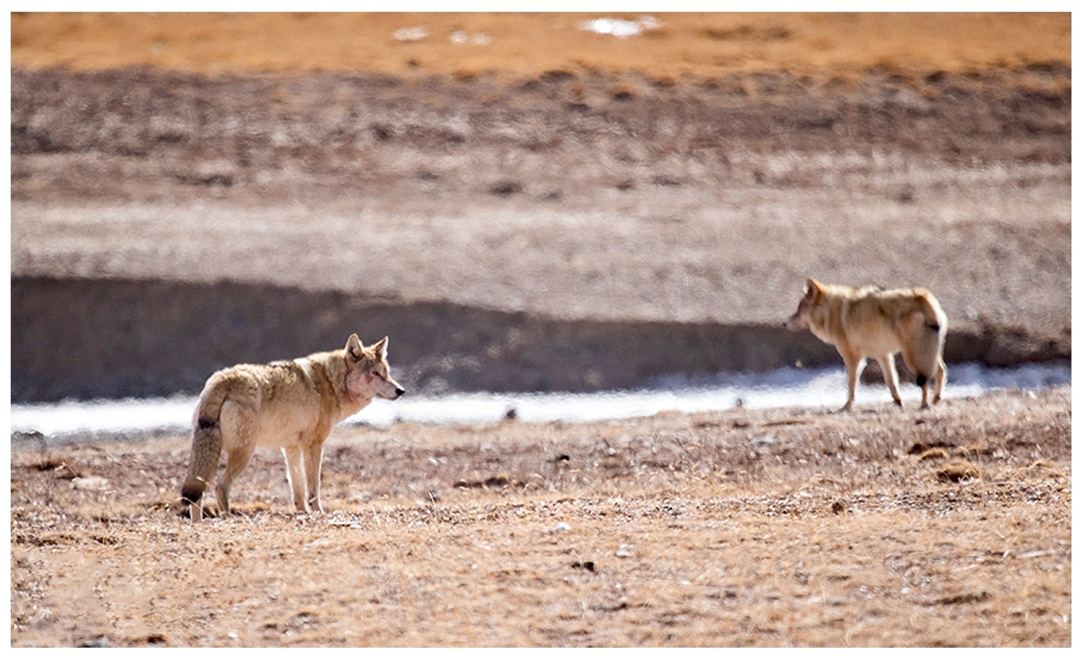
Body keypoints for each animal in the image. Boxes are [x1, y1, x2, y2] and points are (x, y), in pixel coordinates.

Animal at [180, 337, 406, 520]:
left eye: (386, 373)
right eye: (375, 373)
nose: (401, 390)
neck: (331, 384)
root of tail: (222, 379)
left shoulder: (291, 448)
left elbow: (298, 490)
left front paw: (302, 513)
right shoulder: (314, 446)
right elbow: (313, 489)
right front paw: (318, 513)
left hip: (211, 453)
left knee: (197, 494)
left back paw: (197, 523)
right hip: (244, 453)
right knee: (220, 487)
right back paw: (227, 517)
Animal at [786, 278, 946, 410]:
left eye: (799, 309)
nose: (784, 323)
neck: (831, 312)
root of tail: (923, 297)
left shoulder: (853, 358)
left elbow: (851, 384)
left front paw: (847, 406)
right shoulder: (882, 355)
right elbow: (891, 381)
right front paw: (899, 402)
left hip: (912, 357)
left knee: (925, 379)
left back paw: (924, 405)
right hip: (928, 354)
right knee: (941, 370)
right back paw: (935, 400)